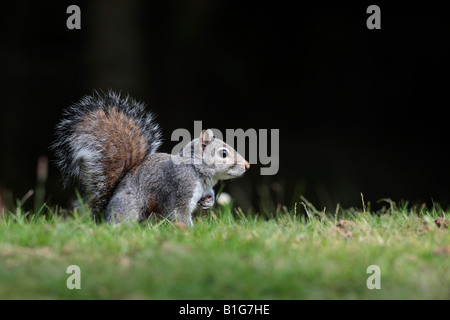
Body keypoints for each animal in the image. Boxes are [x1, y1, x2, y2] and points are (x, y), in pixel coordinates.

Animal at [53, 90, 250, 225]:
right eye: (223, 153)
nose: (247, 165)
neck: (197, 172)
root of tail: (104, 213)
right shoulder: (179, 189)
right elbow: (179, 214)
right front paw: (190, 233)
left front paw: (208, 202)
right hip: (129, 206)